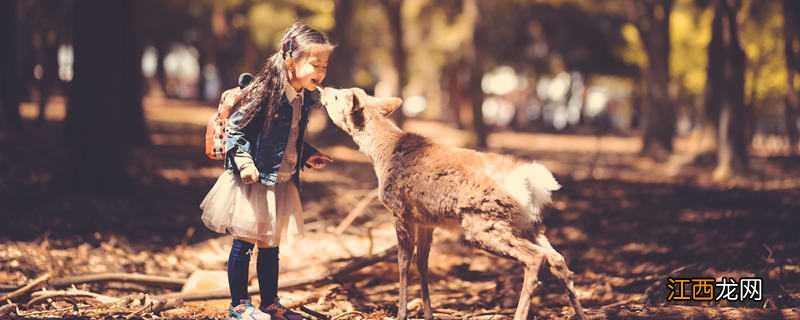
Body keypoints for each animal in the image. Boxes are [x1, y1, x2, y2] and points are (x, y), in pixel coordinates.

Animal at [318, 87, 588, 320]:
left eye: (339, 97)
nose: (323, 89)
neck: (381, 153)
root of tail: (530, 182)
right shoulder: (426, 220)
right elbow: (422, 262)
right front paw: (428, 314)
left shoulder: (399, 210)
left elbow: (403, 261)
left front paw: (401, 313)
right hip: (528, 224)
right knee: (557, 259)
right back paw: (581, 313)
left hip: (484, 221)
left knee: (535, 258)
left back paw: (520, 315)